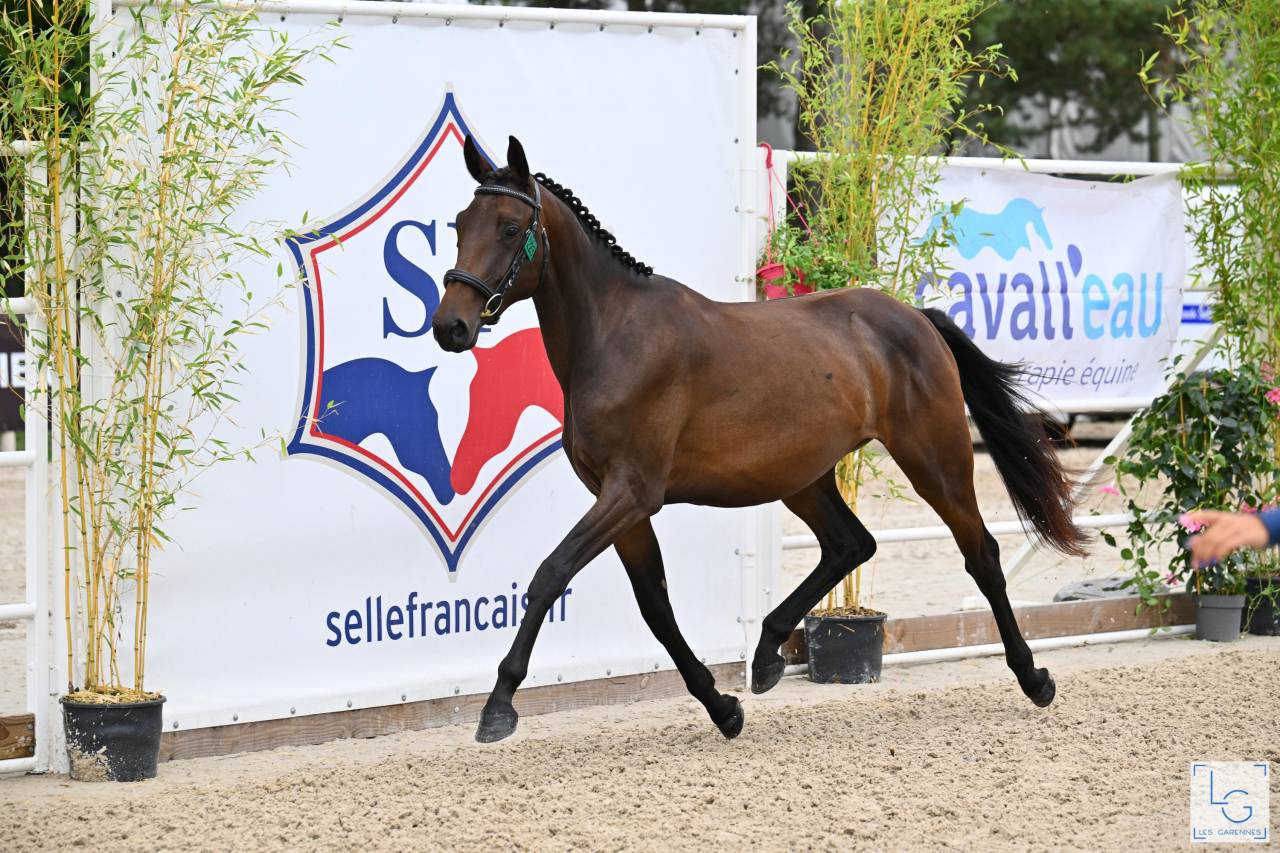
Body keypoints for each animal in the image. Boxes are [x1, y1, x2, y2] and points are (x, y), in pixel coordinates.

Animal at [434, 136, 1086, 744]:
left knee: (981, 555)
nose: (450, 326)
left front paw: (498, 708)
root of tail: (916, 318)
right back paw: (769, 653)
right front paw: (723, 709)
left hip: (935, 459)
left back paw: (1034, 678)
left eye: (510, 226)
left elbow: (550, 574)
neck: (616, 337)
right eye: (459, 224)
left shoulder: (631, 493)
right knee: (850, 545)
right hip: (802, 477)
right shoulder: (621, 503)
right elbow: (655, 607)